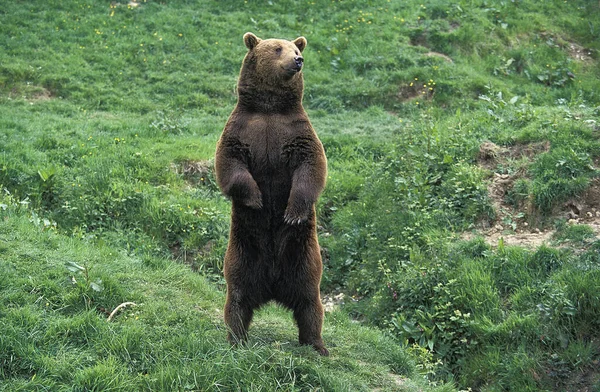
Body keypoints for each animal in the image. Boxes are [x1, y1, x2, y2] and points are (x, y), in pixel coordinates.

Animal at [214, 32, 328, 356]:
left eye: (295, 48)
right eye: (277, 48)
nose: (297, 60)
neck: (269, 108)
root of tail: (273, 287)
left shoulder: (297, 132)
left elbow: (311, 167)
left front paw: (291, 213)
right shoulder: (241, 130)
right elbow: (230, 164)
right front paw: (256, 199)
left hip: (303, 255)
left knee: (310, 301)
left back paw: (317, 345)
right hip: (243, 252)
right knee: (237, 297)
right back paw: (236, 338)